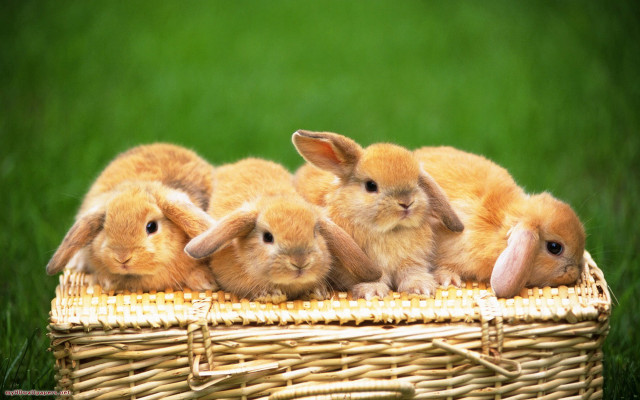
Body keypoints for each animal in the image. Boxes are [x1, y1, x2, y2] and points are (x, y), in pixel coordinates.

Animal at [292, 130, 464, 300]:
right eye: (371, 185)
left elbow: (412, 273)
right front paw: (372, 292)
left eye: (417, 181)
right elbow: (376, 278)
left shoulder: (412, 260)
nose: (406, 202)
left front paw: (421, 288)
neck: (390, 230)